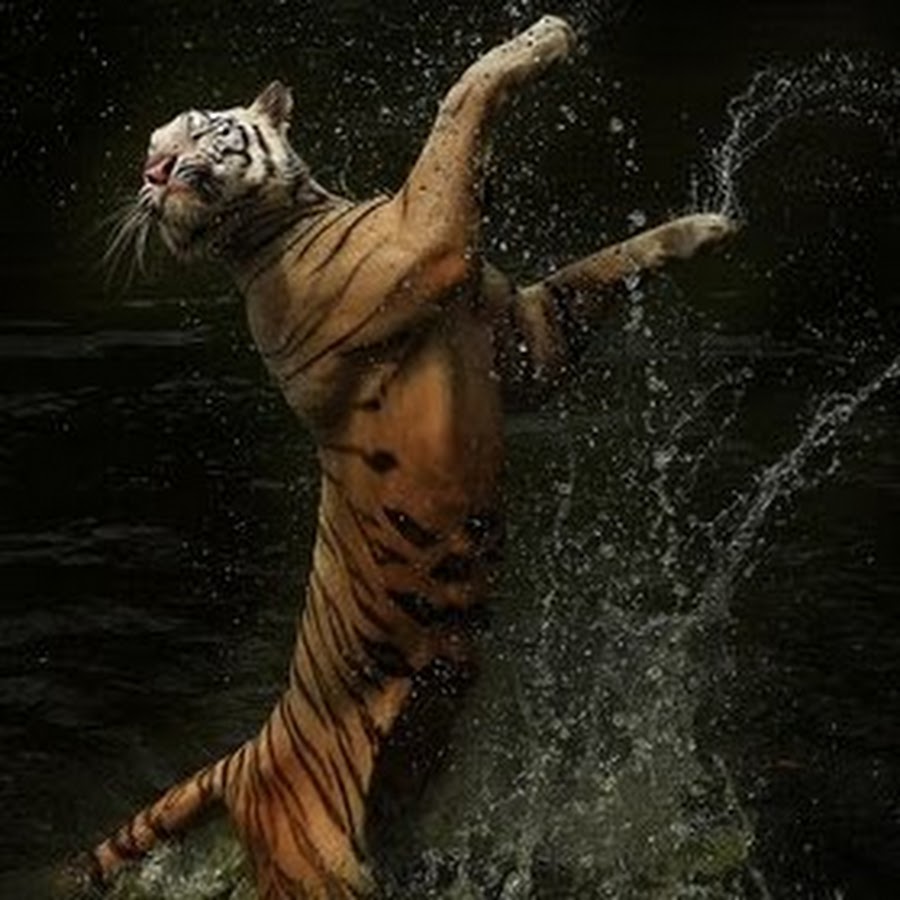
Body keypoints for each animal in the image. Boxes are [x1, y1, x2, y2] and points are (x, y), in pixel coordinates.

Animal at [68, 15, 734, 900]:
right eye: (155, 148)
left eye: (193, 128)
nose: (152, 172)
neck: (276, 222)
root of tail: (246, 755)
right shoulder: (425, 243)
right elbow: (457, 111)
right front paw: (541, 39)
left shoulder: (524, 346)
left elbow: (593, 272)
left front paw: (704, 227)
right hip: (318, 870)